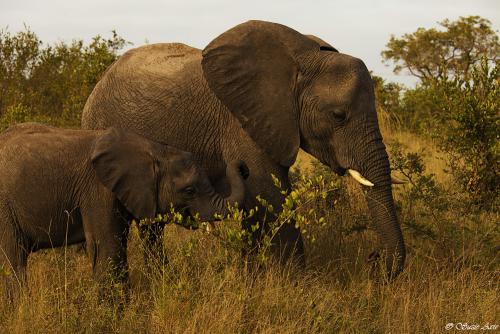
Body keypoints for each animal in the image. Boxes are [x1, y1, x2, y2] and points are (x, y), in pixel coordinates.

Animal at [0, 123, 248, 300]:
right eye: (189, 190)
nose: (242, 166)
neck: (154, 150)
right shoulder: (98, 190)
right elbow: (107, 248)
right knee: (14, 260)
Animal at [83, 20, 406, 276]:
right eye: (339, 115)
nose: (374, 260)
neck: (305, 58)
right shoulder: (241, 120)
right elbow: (268, 193)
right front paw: (301, 288)